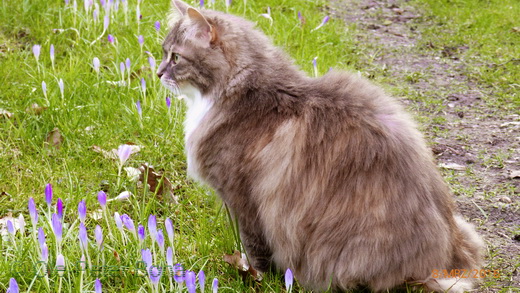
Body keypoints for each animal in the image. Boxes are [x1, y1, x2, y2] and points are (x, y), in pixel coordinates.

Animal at [156, 1, 486, 290]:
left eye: (175, 57)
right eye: (163, 53)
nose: (158, 73)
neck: (242, 92)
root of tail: (445, 254)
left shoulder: (243, 198)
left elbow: (255, 249)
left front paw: (255, 277)